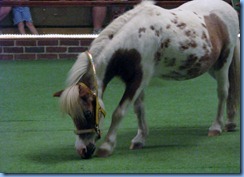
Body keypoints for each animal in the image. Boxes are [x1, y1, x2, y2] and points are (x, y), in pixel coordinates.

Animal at [54, 0, 239, 159]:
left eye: (87, 112)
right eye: (71, 114)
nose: (82, 150)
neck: (134, 40)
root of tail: (228, 7)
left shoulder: (137, 80)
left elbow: (119, 112)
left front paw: (107, 146)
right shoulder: (137, 81)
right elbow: (139, 108)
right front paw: (140, 139)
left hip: (224, 62)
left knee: (223, 92)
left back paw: (216, 127)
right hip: (211, 67)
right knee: (230, 91)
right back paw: (230, 122)